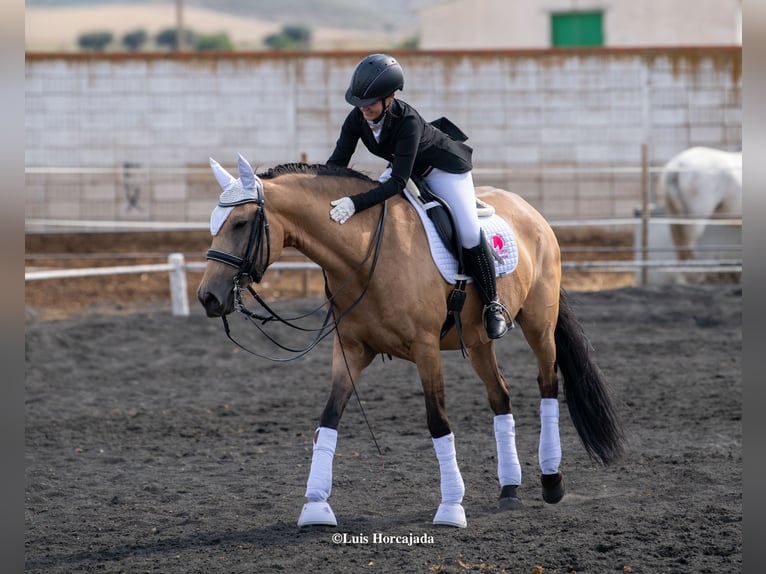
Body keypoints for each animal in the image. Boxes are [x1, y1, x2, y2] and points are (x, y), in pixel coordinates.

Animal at [196, 154, 624, 532]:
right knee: (500, 397)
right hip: (479, 341)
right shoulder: (350, 350)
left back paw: (552, 481)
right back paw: (509, 489)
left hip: (539, 323)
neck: (366, 253)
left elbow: (438, 422)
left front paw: (451, 507)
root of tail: (529, 210)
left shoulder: (425, 349)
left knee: (548, 386)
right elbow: (327, 421)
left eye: (241, 222)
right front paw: (315, 505)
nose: (207, 297)